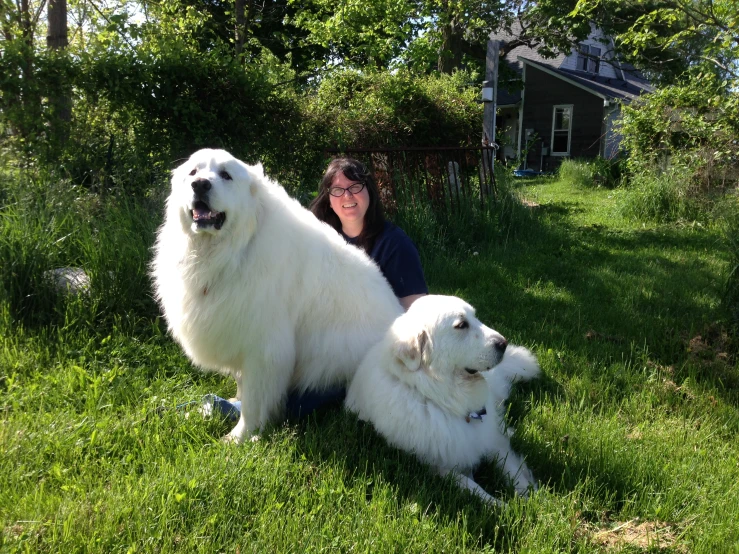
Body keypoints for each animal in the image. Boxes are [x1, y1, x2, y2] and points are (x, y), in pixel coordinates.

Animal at [152, 149, 404, 442]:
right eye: (193, 172)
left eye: (226, 175)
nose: (200, 185)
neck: (235, 248)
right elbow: (242, 384)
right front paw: (235, 403)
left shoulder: (264, 347)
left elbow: (253, 400)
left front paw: (240, 438)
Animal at [344, 296, 540, 502]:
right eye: (461, 325)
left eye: (475, 317)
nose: (504, 343)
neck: (439, 396)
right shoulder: (436, 466)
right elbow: (471, 486)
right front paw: (499, 504)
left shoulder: (489, 440)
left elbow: (509, 465)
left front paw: (528, 494)